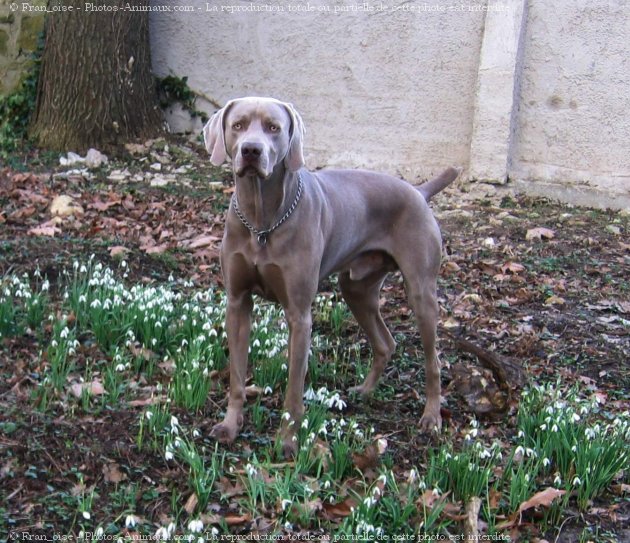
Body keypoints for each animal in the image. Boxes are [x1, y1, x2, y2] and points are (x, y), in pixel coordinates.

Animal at [205, 95, 462, 456]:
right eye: (238, 125)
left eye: (273, 127)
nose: (251, 150)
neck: (262, 221)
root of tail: (418, 191)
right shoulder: (237, 303)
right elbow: (237, 376)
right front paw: (229, 426)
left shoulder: (299, 315)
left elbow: (294, 388)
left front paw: (288, 442)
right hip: (356, 288)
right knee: (386, 342)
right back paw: (364, 391)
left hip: (421, 291)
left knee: (433, 361)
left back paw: (431, 417)